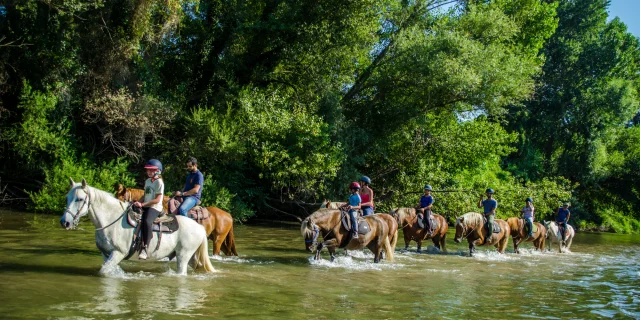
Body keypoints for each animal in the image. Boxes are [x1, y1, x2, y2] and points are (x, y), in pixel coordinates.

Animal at [60, 178, 215, 276]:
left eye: (79, 199)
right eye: (67, 198)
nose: (64, 222)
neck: (110, 220)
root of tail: (199, 227)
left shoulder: (118, 253)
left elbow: (104, 272)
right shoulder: (106, 254)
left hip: (183, 255)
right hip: (192, 257)